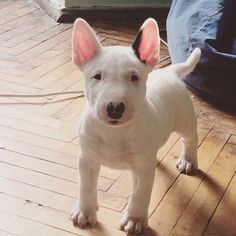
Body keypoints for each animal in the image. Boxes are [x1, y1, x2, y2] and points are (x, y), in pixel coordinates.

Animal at [69, 18, 201, 234]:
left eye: (134, 77)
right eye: (97, 76)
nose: (115, 108)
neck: (114, 132)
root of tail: (169, 72)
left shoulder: (143, 170)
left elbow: (140, 193)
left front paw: (135, 219)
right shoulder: (87, 159)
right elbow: (85, 186)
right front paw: (85, 212)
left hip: (185, 119)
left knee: (190, 138)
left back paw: (188, 160)